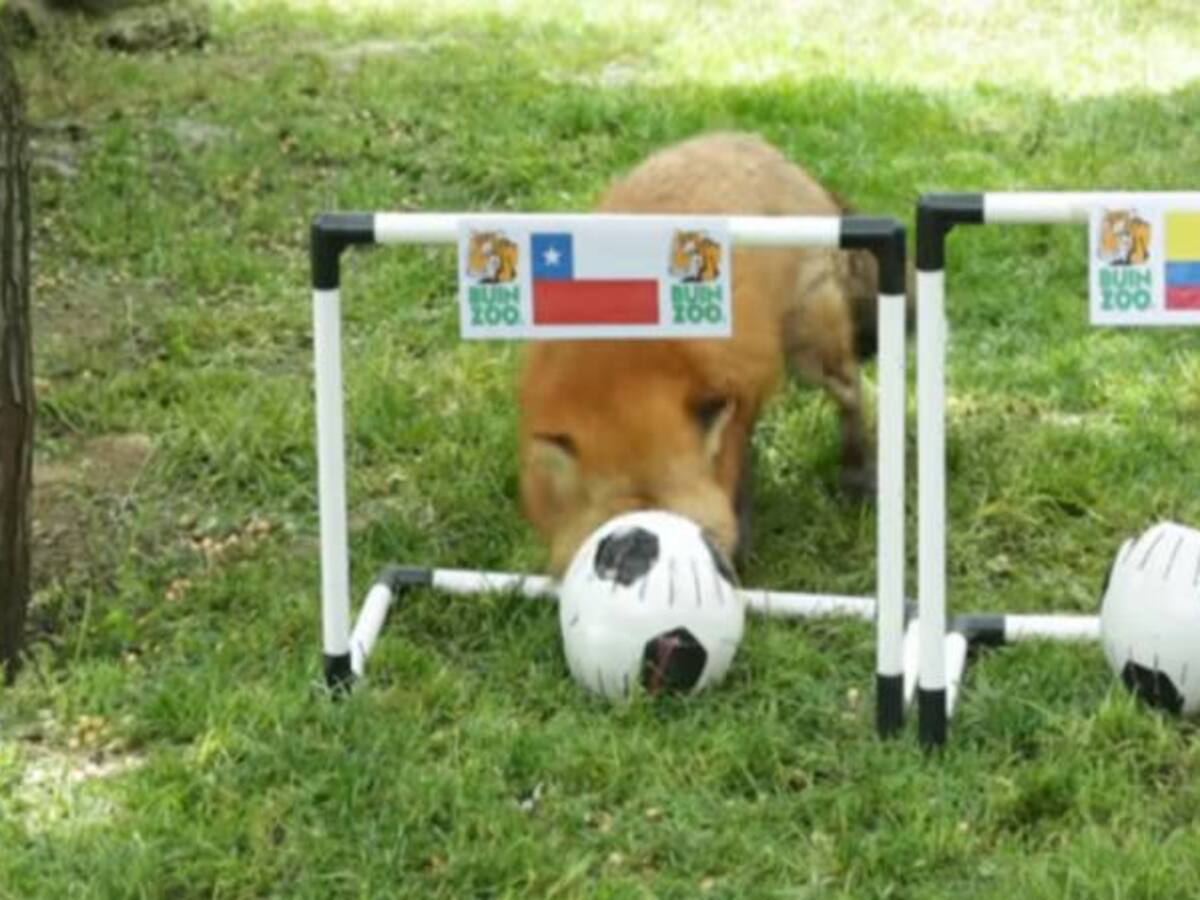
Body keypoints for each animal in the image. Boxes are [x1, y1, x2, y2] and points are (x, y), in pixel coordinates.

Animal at [518, 132, 884, 577]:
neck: (621, 371)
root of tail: (763, 147)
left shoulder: (738, 397)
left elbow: (737, 483)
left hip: (813, 345)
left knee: (853, 393)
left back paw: (857, 471)